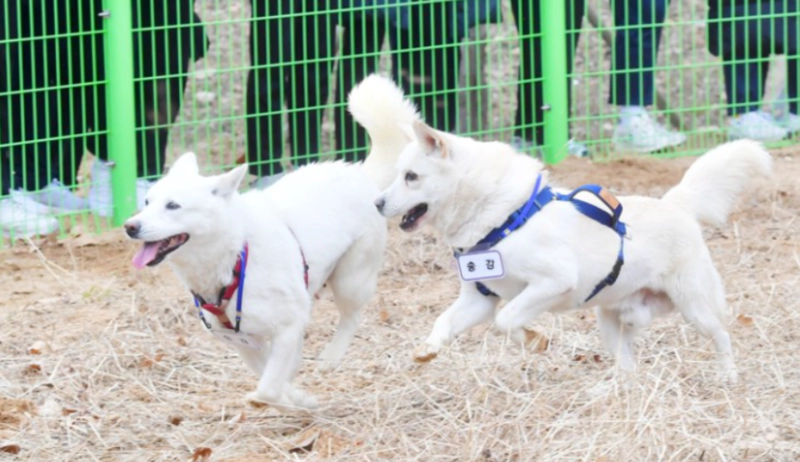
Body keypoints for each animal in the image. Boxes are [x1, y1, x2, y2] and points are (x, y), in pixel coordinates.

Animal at [123, 74, 418, 410]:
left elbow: (267, 389)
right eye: (147, 201)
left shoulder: (288, 327)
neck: (234, 258)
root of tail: (361, 173)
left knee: (351, 316)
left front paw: (297, 400)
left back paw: (330, 357)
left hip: (351, 279)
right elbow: (272, 377)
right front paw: (295, 397)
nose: (130, 227)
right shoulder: (245, 342)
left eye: (173, 206)